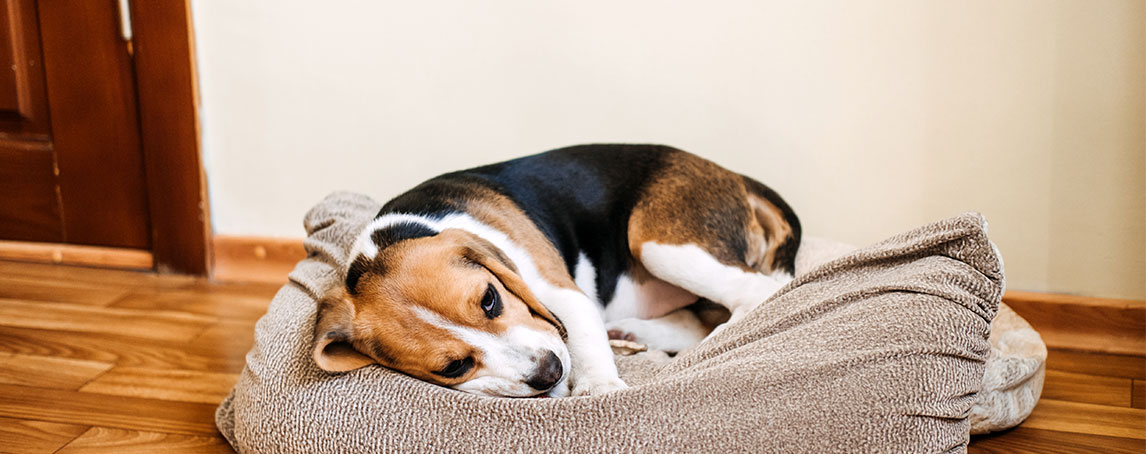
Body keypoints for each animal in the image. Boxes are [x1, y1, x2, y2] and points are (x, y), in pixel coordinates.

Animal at [309, 144, 802, 396]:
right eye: (454, 367)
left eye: (490, 299)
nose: (549, 373)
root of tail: (735, 176)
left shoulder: (562, 293)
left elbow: (582, 338)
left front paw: (599, 388)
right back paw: (633, 334)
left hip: (659, 244)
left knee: (756, 293)